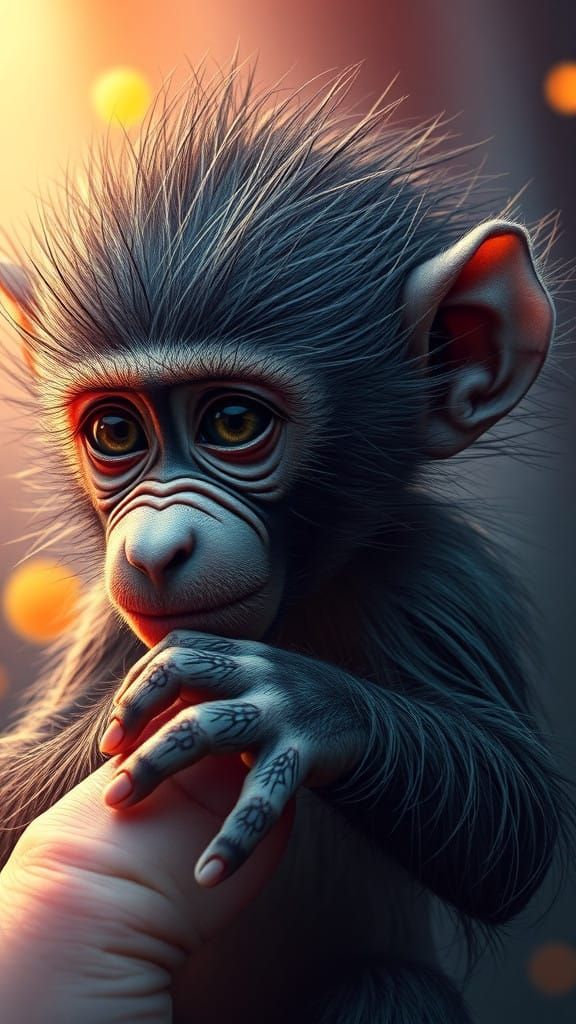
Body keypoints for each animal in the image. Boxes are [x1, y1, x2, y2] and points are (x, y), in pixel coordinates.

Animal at [0, 60, 573, 1024]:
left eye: (235, 422)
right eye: (115, 432)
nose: (155, 549)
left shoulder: (438, 572)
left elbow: (514, 825)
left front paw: (293, 700)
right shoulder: (102, 621)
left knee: (393, 988)